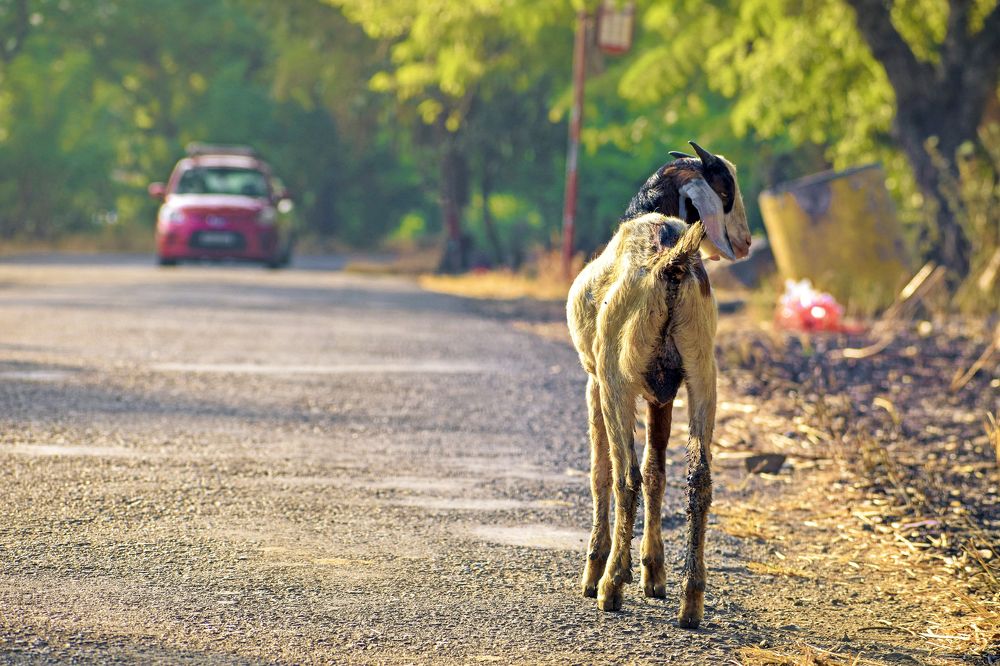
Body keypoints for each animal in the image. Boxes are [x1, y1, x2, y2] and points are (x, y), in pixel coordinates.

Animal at [566, 142, 751, 626]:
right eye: (726, 188)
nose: (746, 242)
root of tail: (671, 264)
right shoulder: (662, 394)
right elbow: (657, 473)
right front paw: (654, 574)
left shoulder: (594, 380)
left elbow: (602, 473)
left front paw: (599, 572)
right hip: (704, 374)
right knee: (698, 477)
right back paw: (691, 601)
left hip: (617, 377)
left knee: (623, 475)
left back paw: (610, 586)